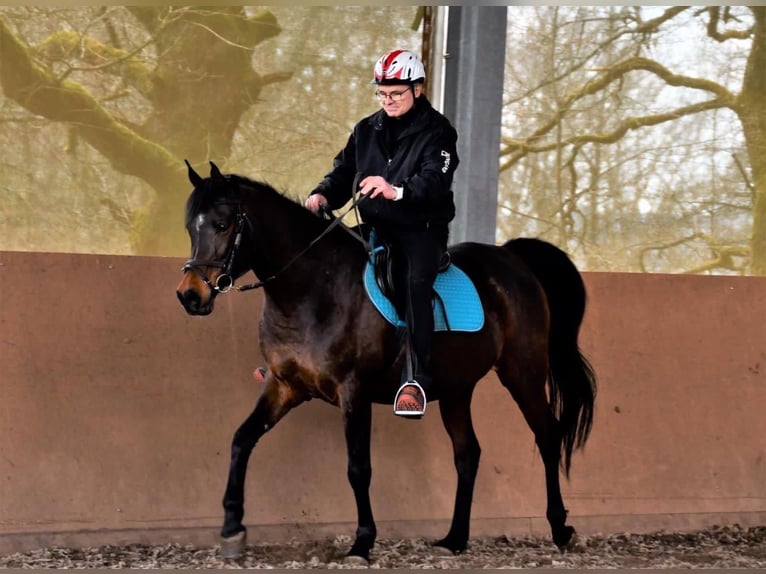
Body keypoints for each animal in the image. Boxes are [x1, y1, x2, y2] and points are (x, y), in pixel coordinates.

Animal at [175, 161, 597, 563]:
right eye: (190, 227)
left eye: (223, 224)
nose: (190, 296)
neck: (313, 289)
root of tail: (512, 258)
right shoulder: (285, 387)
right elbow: (241, 440)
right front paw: (232, 530)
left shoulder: (353, 392)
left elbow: (358, 468)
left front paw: (362, 543)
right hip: (457, 389)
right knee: (468, 454)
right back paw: (454, 539)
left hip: (523, 374)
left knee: (547, 436)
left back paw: (561, 529)